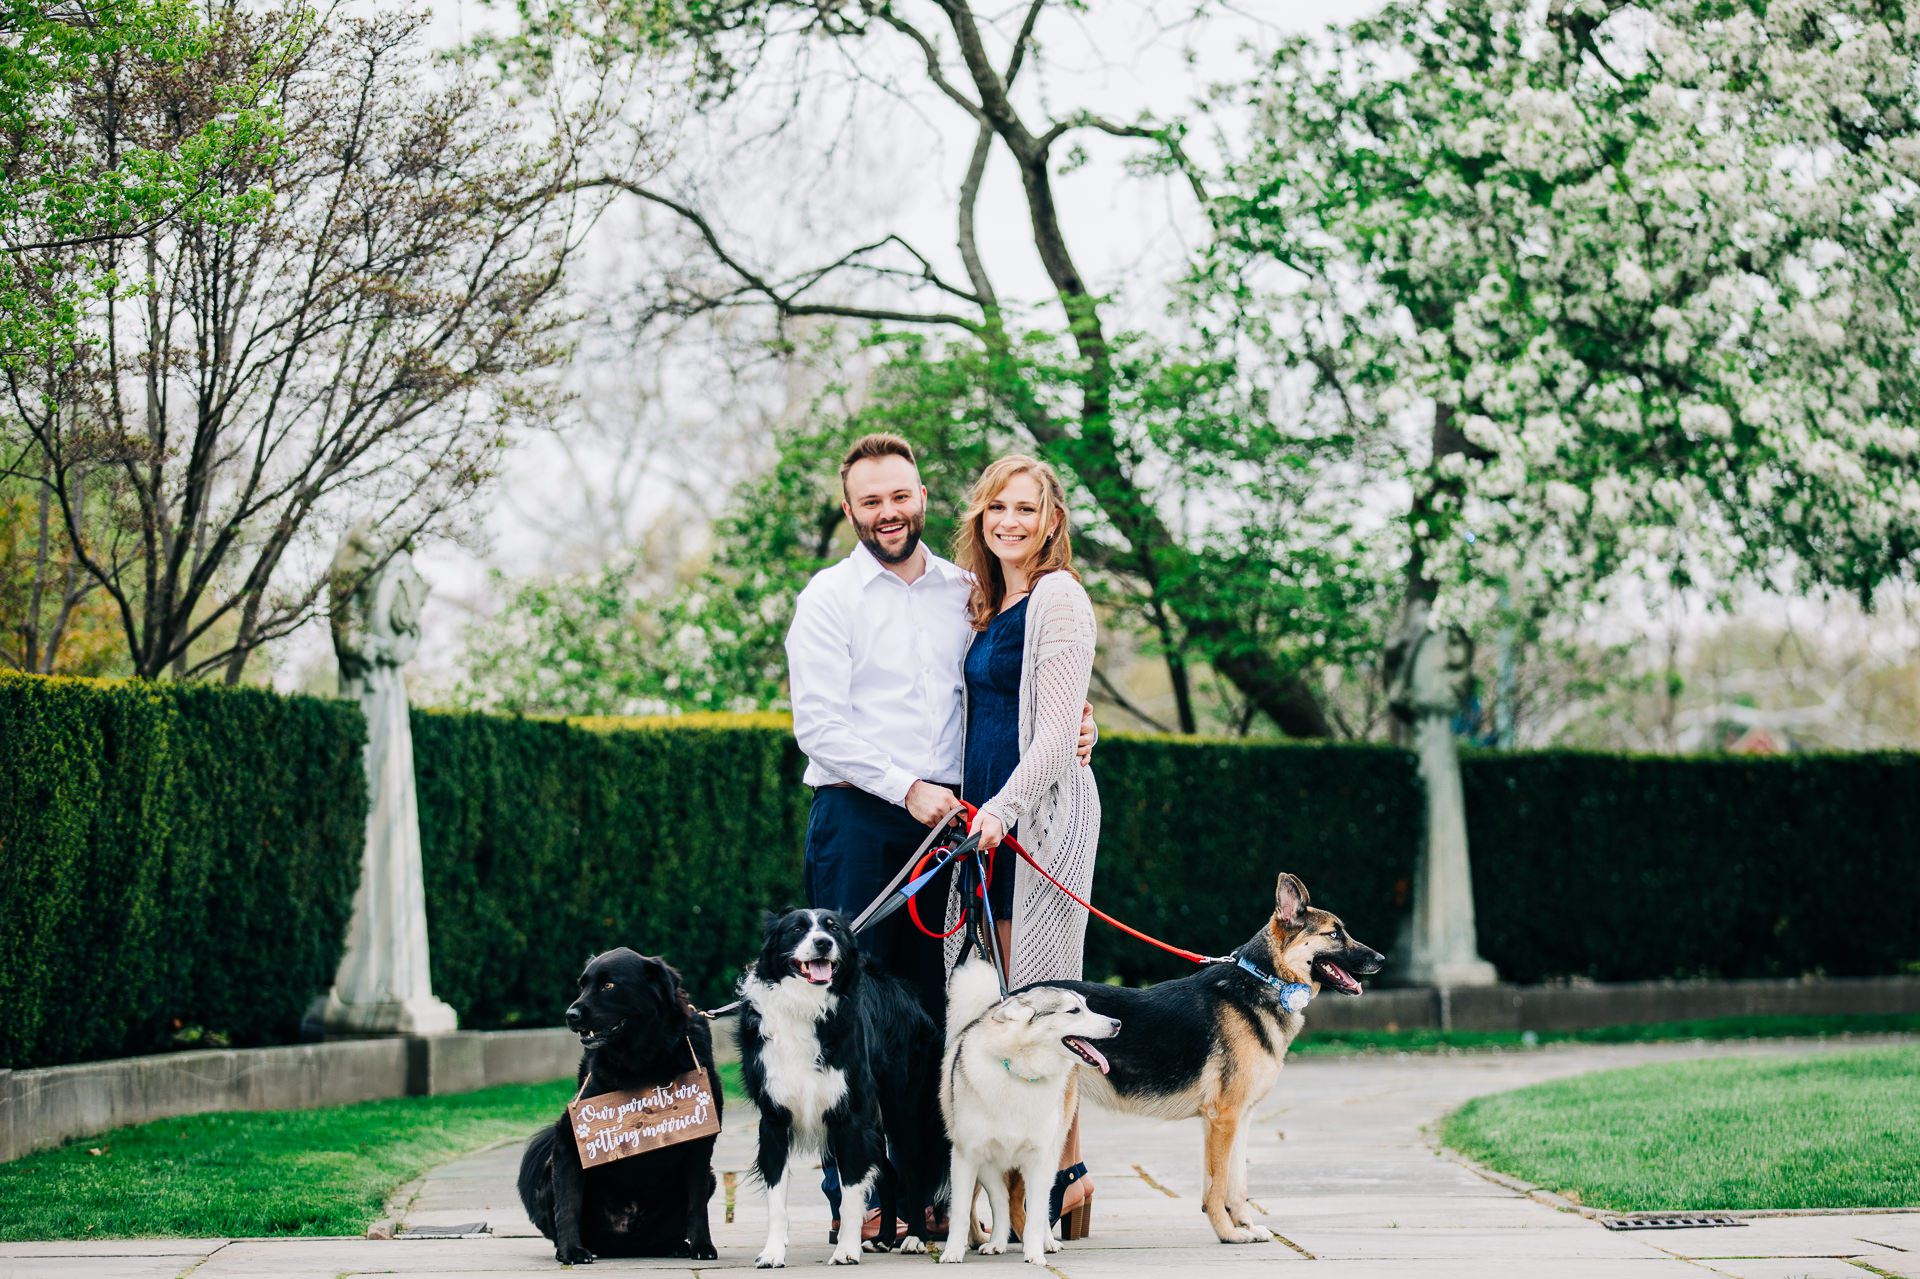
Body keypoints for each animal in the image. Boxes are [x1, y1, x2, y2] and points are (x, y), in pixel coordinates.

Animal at [518, 941, 721, 1259]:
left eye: (609, 985)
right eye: (582, 985)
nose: (570, 1014)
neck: (642, 1064)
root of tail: (624, 1245)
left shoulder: (701, 1141)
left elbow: (697, 1203)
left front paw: (702, 1245)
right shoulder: (570, 1139)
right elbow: (568, 1203)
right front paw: (571, 1250)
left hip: (709, 1179)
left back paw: (673, 1246)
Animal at [733, 906, 944, 1267]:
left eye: (833, 928)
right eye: (796, 929)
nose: (822, 943)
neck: (805, 1006)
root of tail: (901, 990)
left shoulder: (849, 1119)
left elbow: (851, 1192)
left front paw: (846, 1250)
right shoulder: (773, 1120)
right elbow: (776, 1197)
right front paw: (772, 1253)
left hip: (900, 1108)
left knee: (912, 1171)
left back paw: (915, 1237)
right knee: (889, 1173)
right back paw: (884, 1237)